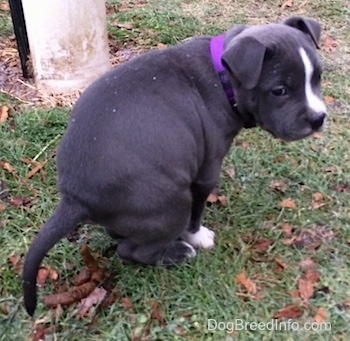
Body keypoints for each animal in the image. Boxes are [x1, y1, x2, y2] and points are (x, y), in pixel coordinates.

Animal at [23, 15, 326, 314]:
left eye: (318, 78)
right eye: (279, 90)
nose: (319, 118)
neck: (222, 77)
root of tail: (75, 197)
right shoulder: (205, 175)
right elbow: (196, 214)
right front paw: (198, 237)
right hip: (172, 203)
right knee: (133, 250)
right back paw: (179, 252)